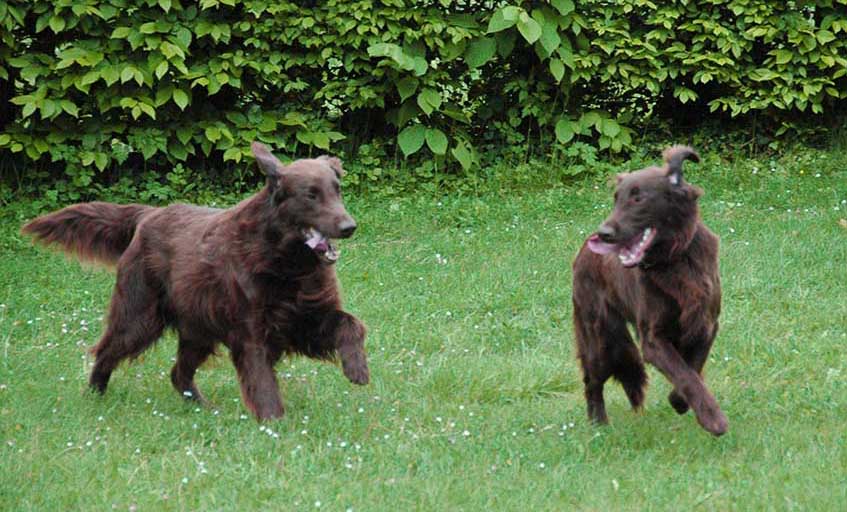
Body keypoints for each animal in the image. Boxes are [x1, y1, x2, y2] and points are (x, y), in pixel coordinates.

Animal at [21, 143, 368, 420]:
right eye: (311, 195)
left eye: (337, 189)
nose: (350, 226)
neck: (287, 262)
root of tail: (149, 214)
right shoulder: (252, 332)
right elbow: (263, 381)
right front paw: (274, 424)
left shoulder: (307, 317)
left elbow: (351, 325)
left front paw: (357, 369)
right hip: (139, 317)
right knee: (106, 351)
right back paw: (95, 394)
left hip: (198, 329)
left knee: (178, 373)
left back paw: (204, 408)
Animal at [572, 145, 724, 436]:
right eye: (616, 199)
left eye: (638, 198)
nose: (603, 233)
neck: (675, 260)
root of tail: (584, 249)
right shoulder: (653, 339)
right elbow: (685, 374)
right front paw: (713, 418)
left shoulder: (706, 324)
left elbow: (693, 368)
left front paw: (680, 402)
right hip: (601, 335)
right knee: (592, 381)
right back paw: (599, 424)